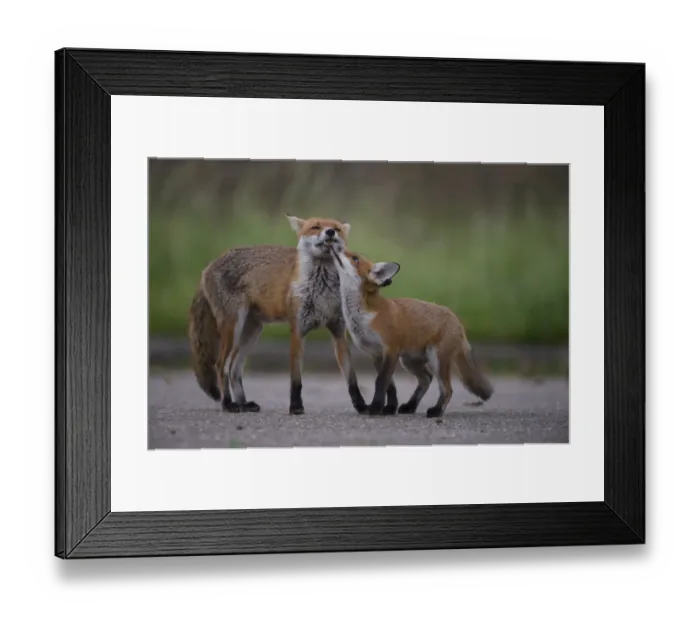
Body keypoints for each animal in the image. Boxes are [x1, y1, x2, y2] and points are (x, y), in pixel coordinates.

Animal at [188, 214, 368, 416]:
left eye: (337, 229)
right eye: (315, 227)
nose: (329, 232)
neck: (321, 291)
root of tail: (209, 265)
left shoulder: (338, 333)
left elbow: (352, 380)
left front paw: (361, 406)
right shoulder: (297, 331)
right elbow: (296, 379)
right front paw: (295, 406)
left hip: (252, 332)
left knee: (234, 368)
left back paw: (243, 404)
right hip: (233, 328)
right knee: (220, 366)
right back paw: (228, 404)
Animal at [330, 248, 494, 417]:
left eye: (355, 259)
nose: (336, 246)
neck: (365, 317)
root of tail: (458, 321)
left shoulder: (391, 349)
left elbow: (381, 381)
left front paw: (376, 408)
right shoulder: (376, 354)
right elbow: (390, 385)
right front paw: (389, 408)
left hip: (436, 359)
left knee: (447, 389)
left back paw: (436, 410)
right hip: (409, 361)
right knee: (426, 379)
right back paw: (410, 406)